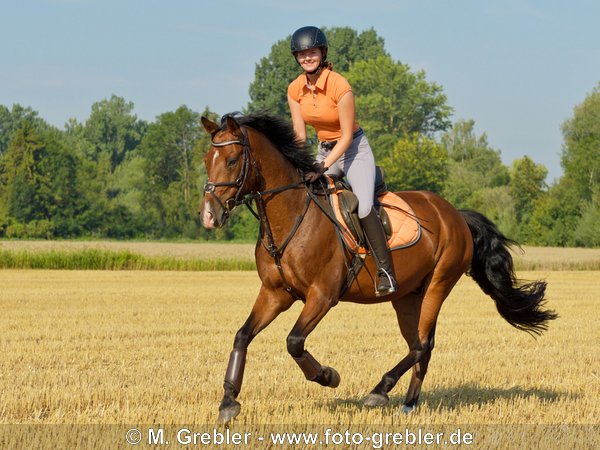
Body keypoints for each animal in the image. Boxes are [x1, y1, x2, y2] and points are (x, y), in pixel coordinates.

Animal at [200, 110, 556, 424]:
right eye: (206, 160)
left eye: (231, 160)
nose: (209, 216)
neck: (291, 215)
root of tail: (455, 214)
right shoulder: (276, 293)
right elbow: (242, 336)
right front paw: (228, 402)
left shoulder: (322, 295)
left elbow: (294, 342)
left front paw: (328, 376)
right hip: (408, 295)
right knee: (420, 346)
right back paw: (406, 401)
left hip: (438, 284)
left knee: (422, 344)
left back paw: (382, 391)